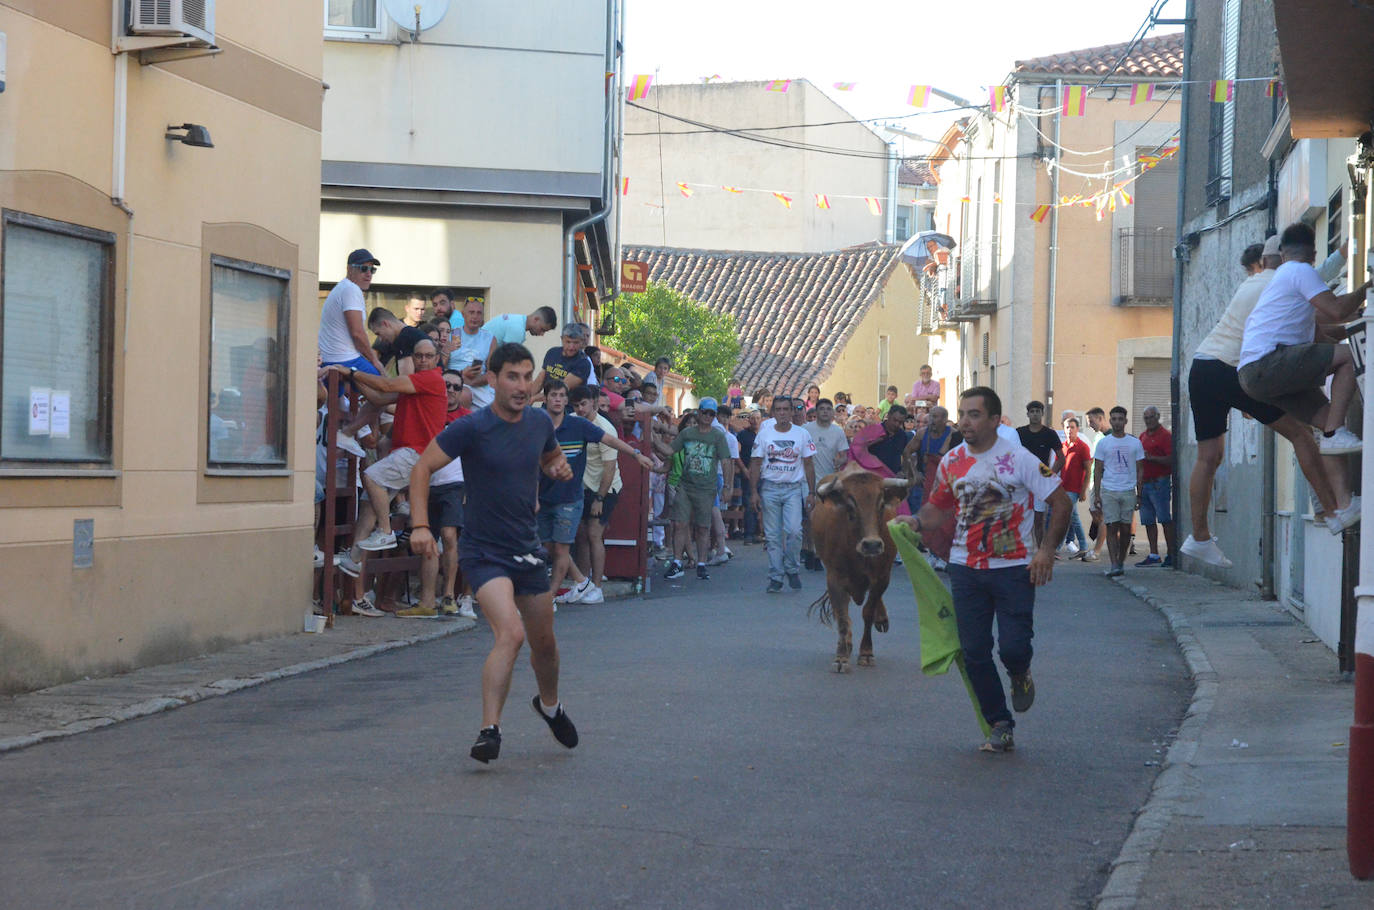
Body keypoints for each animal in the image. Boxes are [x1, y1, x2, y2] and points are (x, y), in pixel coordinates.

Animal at [807, 467, 906, 673]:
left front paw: (866, 653)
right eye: (850, 506)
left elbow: (868, 612)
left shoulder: (882, 577)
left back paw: (881, 619)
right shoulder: (834, 579)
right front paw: (841, 657)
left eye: (881, 505)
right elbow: (843, 617)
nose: (872, 545)